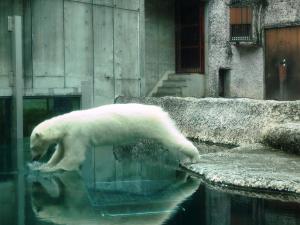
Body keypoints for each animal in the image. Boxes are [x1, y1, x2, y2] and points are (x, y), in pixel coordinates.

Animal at [29, 103, 199, 171]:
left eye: (33, 147)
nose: (34, 157)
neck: (65, 124)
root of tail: (159, 111)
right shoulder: (66, 138)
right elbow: (59, 153)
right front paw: (45, 165)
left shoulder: (76, 134)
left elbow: (74, 157)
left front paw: (51, 169)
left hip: (154, 125)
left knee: (172, 138)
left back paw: (194, 156)